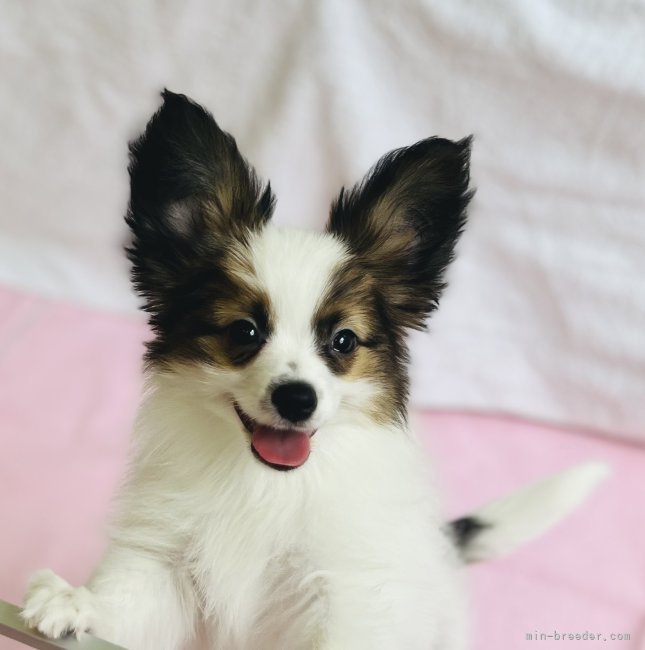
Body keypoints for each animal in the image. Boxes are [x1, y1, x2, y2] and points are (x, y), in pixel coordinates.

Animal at [21, 91, 608, 648]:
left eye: (343, 340)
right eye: (244, 332)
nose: (298, 399)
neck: (266, 485)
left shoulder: (349, 591)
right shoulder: (167, 561)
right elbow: (126, 605)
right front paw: (75, 601)